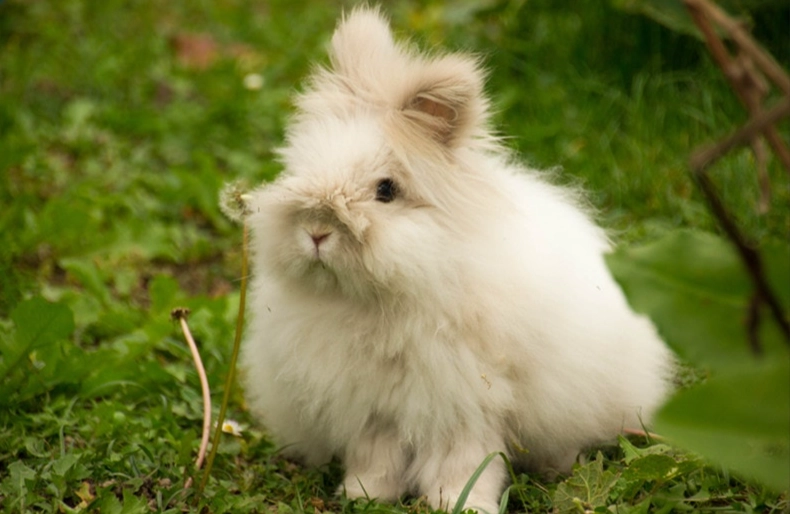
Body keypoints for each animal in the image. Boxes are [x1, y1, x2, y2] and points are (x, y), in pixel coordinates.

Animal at [240, 6, 673, 513]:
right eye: (301, 170)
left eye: (386, 190)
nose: (316, 232)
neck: (382, 301)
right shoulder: (374, 409)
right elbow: (376, 455)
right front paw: (364, 494)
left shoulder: (466, 403)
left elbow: (466, 461)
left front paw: (461, 503)